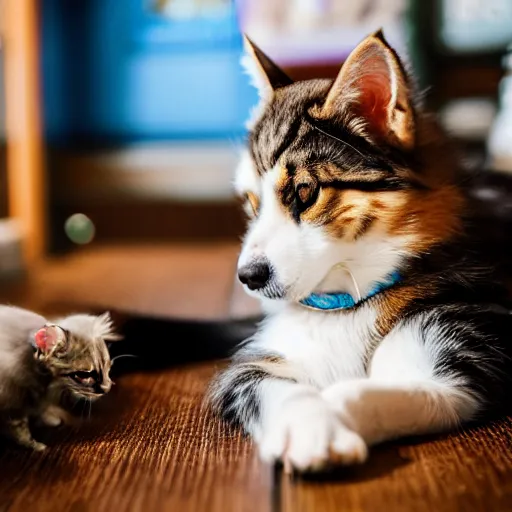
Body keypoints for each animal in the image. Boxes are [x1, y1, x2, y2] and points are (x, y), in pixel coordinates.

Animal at [0, 306, 117, 450]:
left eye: (108, 368)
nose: (107, 388)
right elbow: (21, 431)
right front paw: (35, 446)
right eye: (84, 375)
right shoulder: (13, 408)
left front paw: (49, 418)